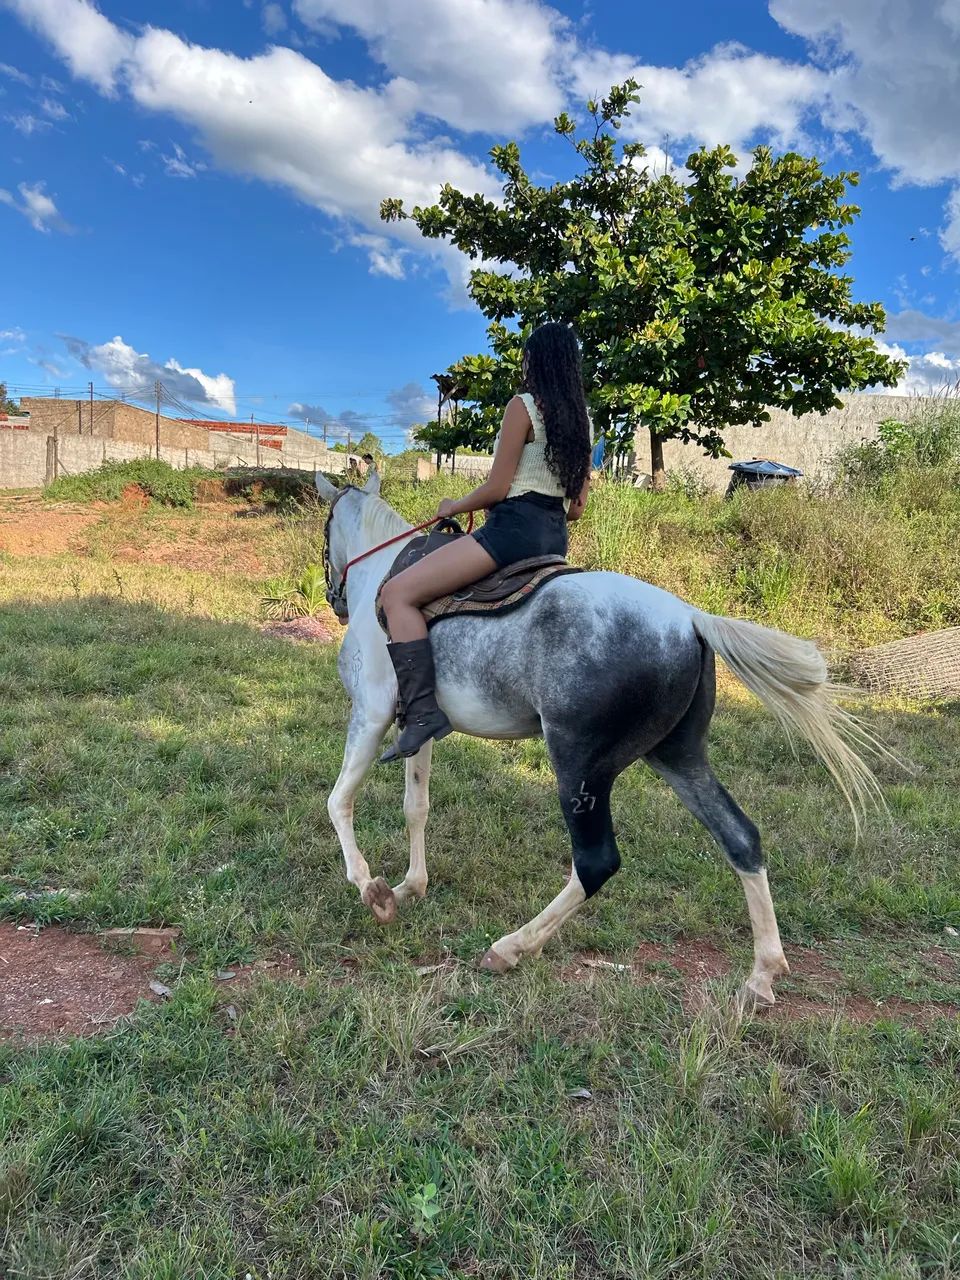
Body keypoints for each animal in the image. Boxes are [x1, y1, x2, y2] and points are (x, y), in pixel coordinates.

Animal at [316, 469, 882, 1007]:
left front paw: (372, 889)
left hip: (580, 766)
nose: (334, 599)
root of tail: (690, 620)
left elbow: (338, 801)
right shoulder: (418, 728)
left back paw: (511, 947)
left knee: (595, 862)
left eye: (325, 533)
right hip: (678, 757)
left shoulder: (370, 713)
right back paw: (762, 974)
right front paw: (411, 886)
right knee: (740, 838)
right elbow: (417, 806)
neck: (381, 578)